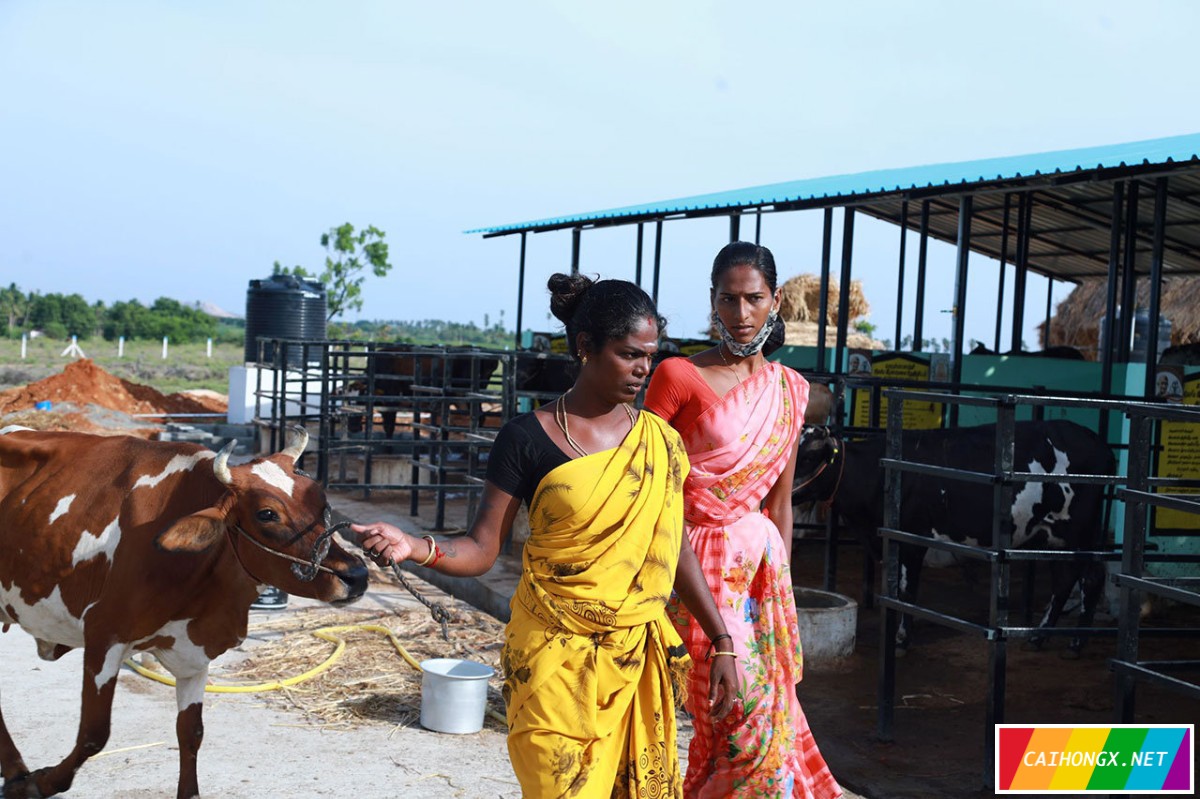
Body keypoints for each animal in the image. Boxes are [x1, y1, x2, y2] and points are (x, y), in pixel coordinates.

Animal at [0, 427, 364, 791]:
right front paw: (40, 783)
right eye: (267, 514)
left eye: (322, 502)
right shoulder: (104, 634)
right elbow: (93, 734)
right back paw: (17, 771)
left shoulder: (195, 653)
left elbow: (191, 734)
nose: (356, 575)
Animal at [796, 417, 1113, 652]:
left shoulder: (913, 537)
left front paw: (902, 638)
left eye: (810, 455)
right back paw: (1040, 636)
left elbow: (906, 591)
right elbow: (893, 588)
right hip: (1051, 535)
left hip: (1077, 530)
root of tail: (1099, 443)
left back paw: (1076, 641)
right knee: (1065, 579)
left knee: (1091, 575)